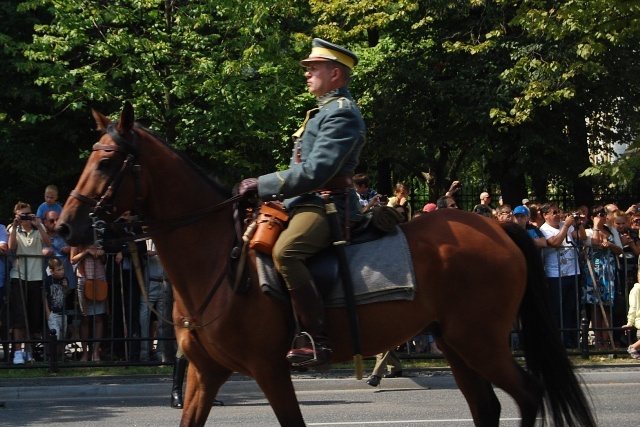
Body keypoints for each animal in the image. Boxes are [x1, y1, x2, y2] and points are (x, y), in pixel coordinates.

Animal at [56, 103, 596, 427]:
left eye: (107, 161)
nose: (65, 227)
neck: (216, 262)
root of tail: (497, 228)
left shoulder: (269, 368)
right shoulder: (205, 374)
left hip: (480, 340)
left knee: (527, 394)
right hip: (458, 342)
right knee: (487, 405)